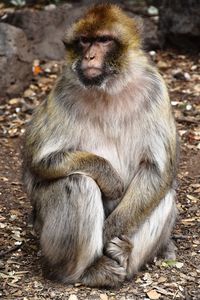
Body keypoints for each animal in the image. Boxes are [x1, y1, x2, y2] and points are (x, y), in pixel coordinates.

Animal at [23, 3, 178, 288]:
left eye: (104, 40)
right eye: (85, 41)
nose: (90, 57)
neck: (109, 88)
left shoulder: (156, 89)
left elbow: (156, 170)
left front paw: (110, 233)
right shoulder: (63, 91)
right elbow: (39, 159)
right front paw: (109, 178)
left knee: (163, 194)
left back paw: (125, 254)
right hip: (44, 232)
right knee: (78, 184)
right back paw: (83, 272)